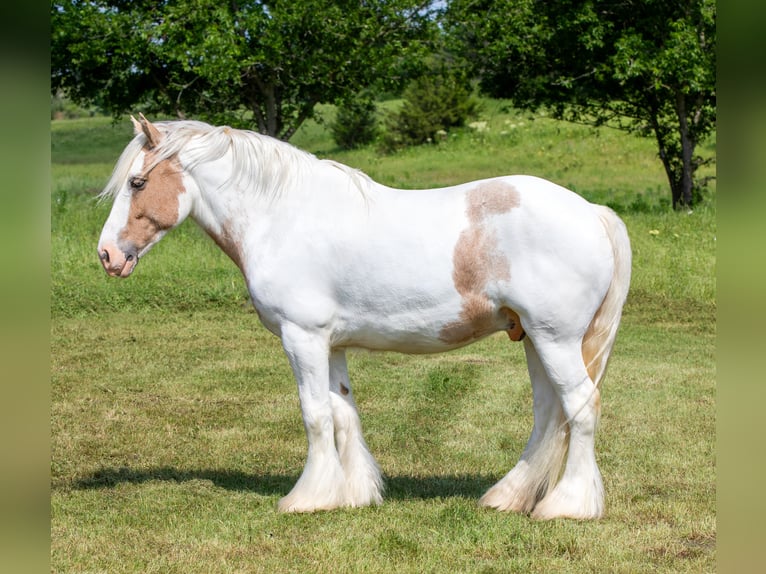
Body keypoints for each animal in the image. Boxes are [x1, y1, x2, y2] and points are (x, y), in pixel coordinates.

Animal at [99, 115, 632, 520]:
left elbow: (314, 414)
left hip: (555, 339)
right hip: (534, 340)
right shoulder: (330, 343)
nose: (107, 255)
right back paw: (507, 497)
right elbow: (342, 413)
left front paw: (307, 498)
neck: (281, 217)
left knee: (581, 406)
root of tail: (592, 212)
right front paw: (353, 494)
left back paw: (567, 506)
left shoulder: (302, 337)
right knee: (549, 414)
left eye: (137, 182)